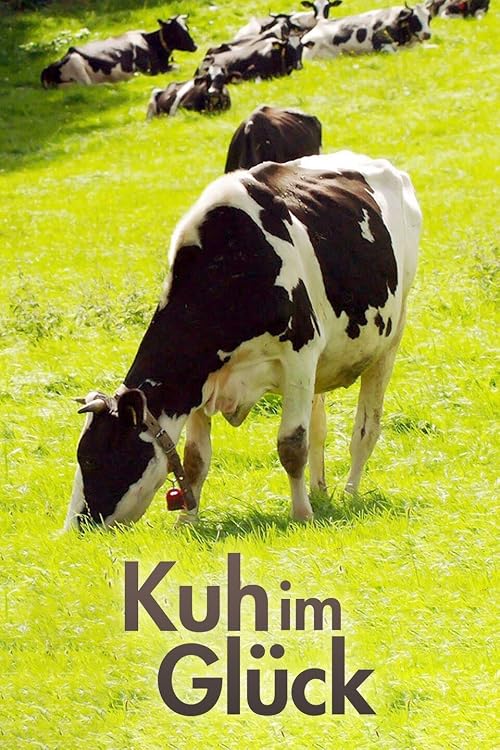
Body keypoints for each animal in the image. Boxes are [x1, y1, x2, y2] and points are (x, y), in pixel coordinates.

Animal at [40, 16, 197, 88]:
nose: (195, 46)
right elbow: (176, 67)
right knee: (88, 85)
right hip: (76, 63)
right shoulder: (151, 70)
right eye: (176, 31)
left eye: (187, 27)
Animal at [65, 150, 421, 531]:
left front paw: (302, 514)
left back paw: (350, 493)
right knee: (319, 428)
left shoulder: (299, 354)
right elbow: (195, 459)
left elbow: (292, 445)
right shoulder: (201, 380)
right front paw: (187, 522)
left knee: (365, 430)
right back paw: (320, 491)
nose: (74, 528)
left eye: (93, 459)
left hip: (390, 337)